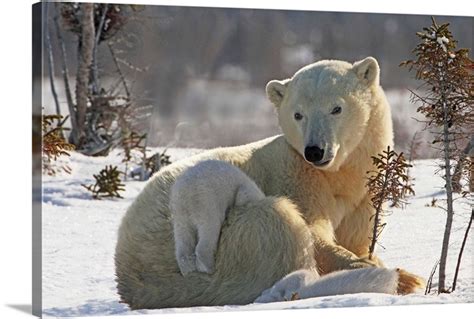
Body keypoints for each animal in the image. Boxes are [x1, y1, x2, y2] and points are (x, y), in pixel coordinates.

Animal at [114, 57, 422, 310]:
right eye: (298, 114)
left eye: (337, 108)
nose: (315, 150)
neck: (336, 176)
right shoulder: (295, 176)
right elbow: (314, 233)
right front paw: (401, 276)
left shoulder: (362, 197)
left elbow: (356, 236)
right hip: (215, 241)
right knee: (276, 225)